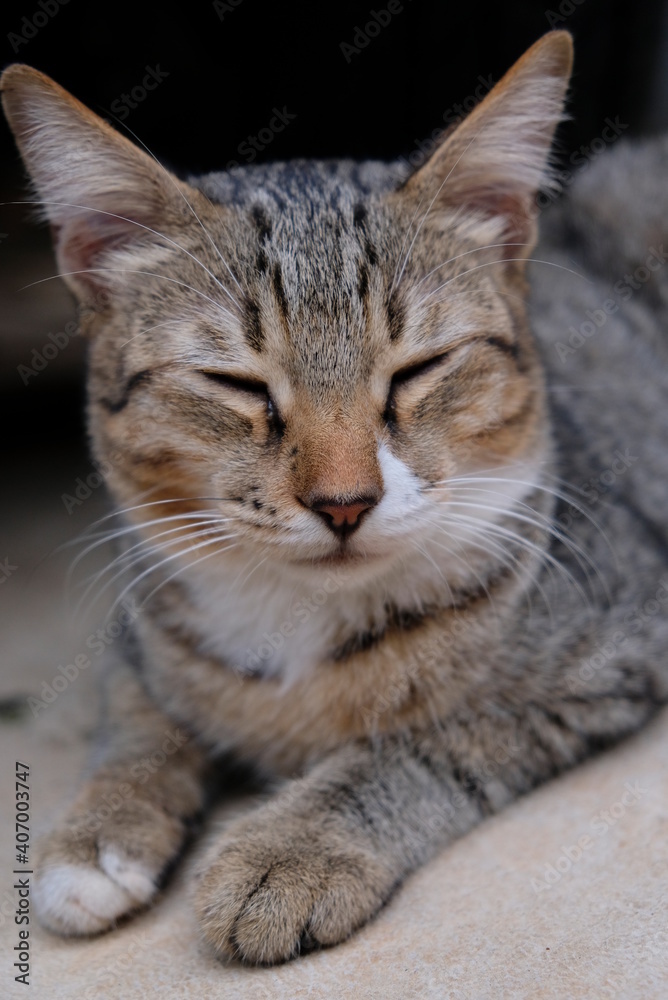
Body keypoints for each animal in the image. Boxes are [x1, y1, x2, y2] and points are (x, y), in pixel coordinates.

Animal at [2, 31, 664, 964]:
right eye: (236, 384)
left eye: (419, 369)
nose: (345, 502)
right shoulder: (142, 626)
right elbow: (138, 712)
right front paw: (99, 830)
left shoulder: (606, 657)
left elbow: (425, 740)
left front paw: (292, 849)